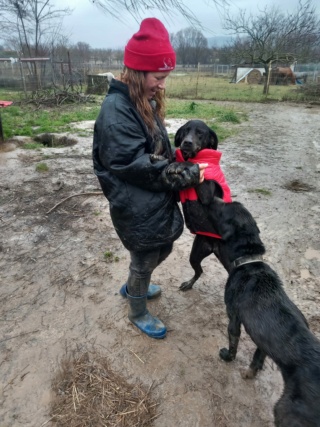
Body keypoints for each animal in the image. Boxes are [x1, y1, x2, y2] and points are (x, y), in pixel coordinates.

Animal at [208, 196, 320, 427]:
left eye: (224, 208)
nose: (213, 197)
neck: (250, 261)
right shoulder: (262, 338)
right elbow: (257, 357)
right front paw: (251, 373)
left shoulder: (233, 317)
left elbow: (233, 344)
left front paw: (227, 357)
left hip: (285, 411)